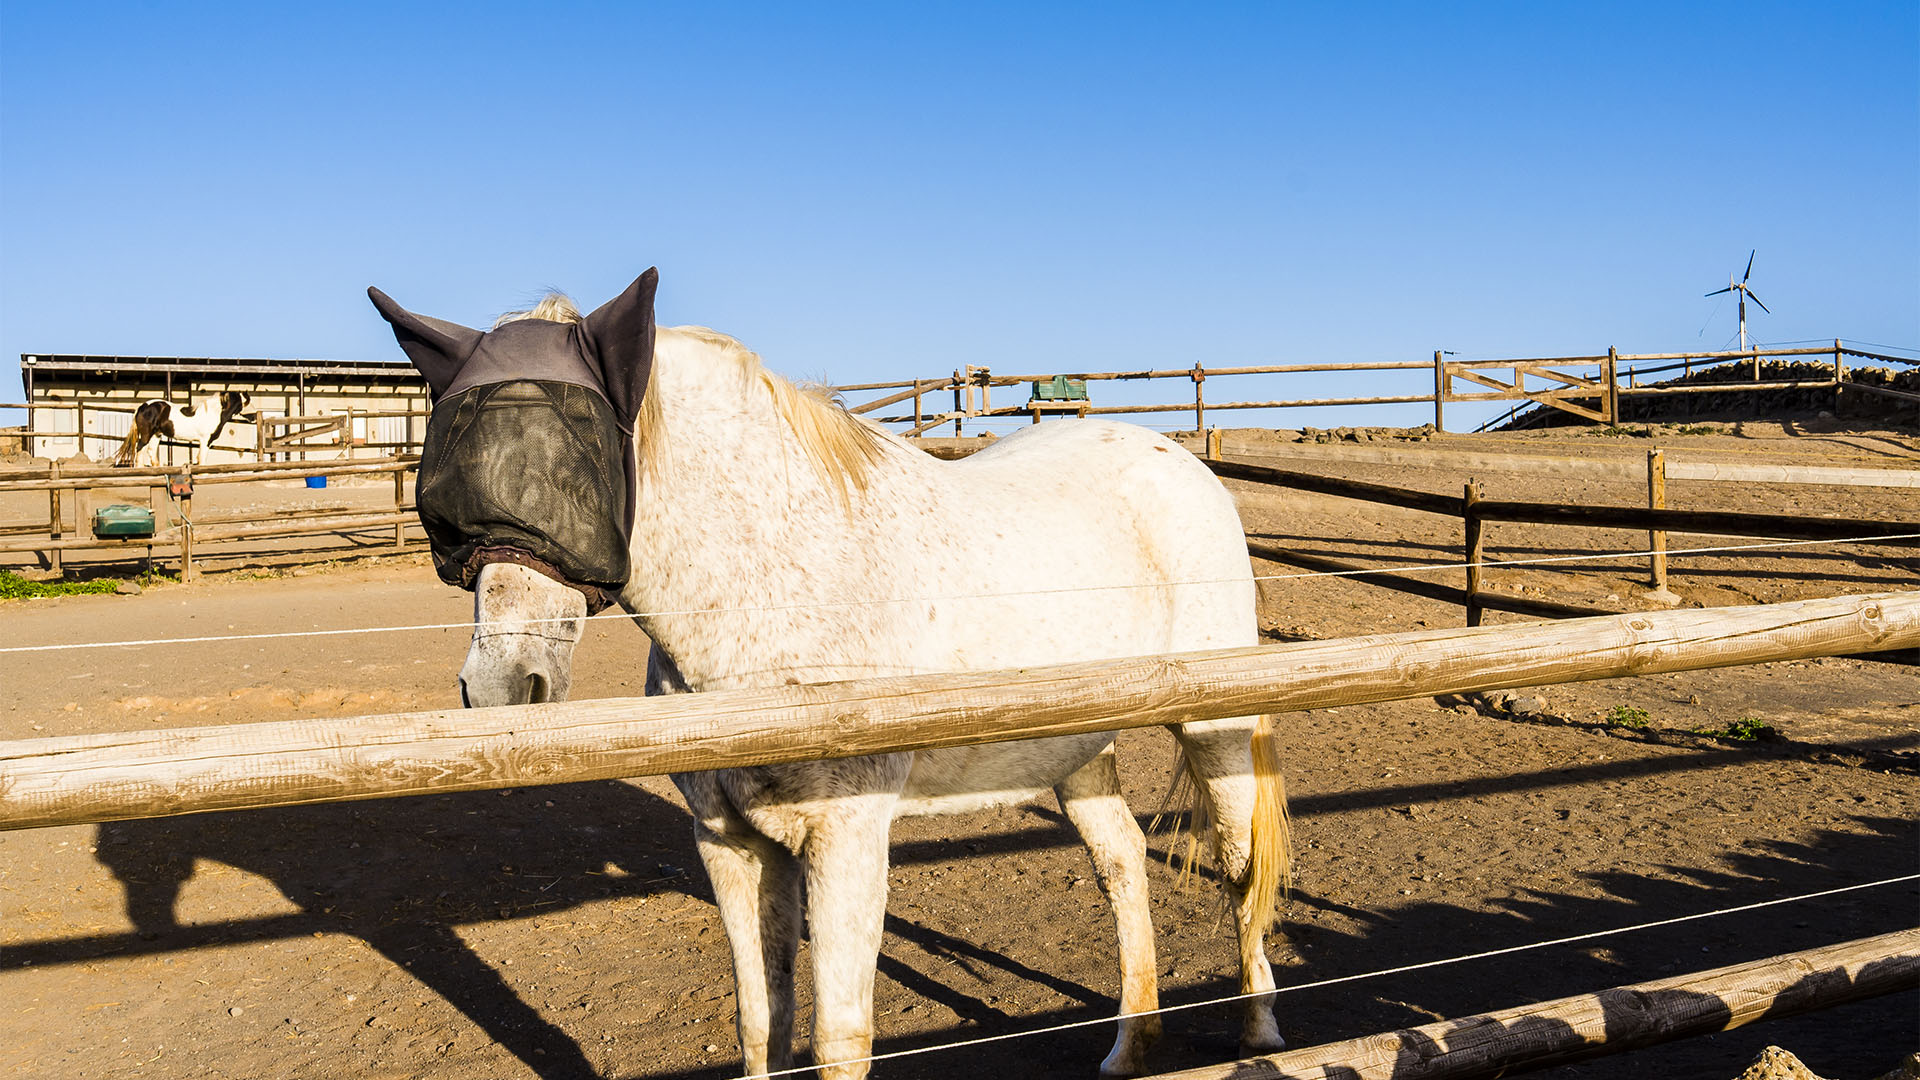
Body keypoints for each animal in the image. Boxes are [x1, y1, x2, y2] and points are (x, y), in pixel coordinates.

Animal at [114, 390, 251, 466]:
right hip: (146, 435)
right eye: (248, 401)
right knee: (140, 448)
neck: (214, 412)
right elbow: (202, 458)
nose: (253, 417)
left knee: (151, 452)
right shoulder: (205, 440)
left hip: (156, 435)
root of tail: (143, 406)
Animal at [372, 272, 1290, 1068]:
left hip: (1213, 731)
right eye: (446, 505)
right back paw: (1131, 1047)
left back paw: (1260, 1029)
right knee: (1123, 863)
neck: (770, 592)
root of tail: (1180, 458)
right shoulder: (732, 845)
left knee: (1239, 866)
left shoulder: (847, 840)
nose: (501, 687)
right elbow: (761, 1023)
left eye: (572, 470)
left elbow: (837, 1036)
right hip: (1076, 747)